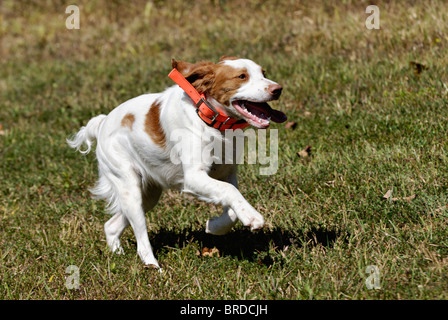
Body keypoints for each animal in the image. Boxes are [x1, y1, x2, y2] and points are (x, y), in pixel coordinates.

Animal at [69, 55, 288, 268]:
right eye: (242, 76)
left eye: (263, 73)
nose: (278, 89)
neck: (212, 122)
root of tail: (102, 123)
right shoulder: (193, 177)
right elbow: (230, 192)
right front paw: (253, 217)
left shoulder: (227, 173)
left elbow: (232, 206)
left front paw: (214, 226)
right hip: (129, 187)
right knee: (141, 238)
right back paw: (153, 267)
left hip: (148, 193)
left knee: (111, 226)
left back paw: (117, 255)